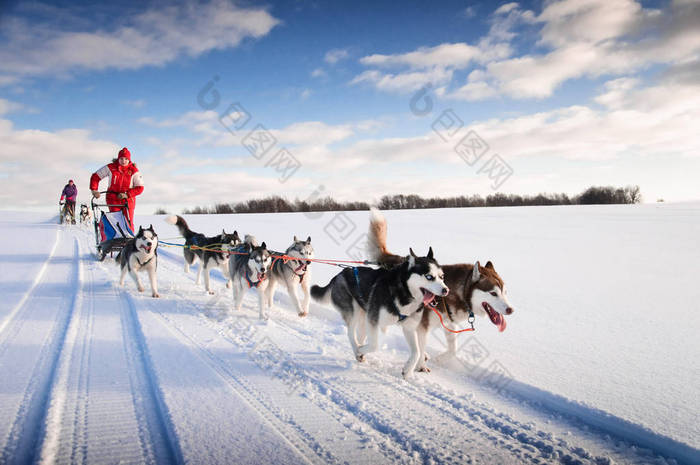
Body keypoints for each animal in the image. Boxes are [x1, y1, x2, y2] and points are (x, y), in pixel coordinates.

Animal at [312, 214, 448, 376]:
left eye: (442, 276)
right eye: (429, 277)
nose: (446, 290)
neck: (404, 292)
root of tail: (339, 274)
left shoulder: (408, 327)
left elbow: (416, 352)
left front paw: (408, 370)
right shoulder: (375, 321)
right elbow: (376, 344)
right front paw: (361, 350)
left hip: (364, 316)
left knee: (359, 334)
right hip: (354, 312)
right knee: (351, 333)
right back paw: (357, 350)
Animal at [366, 208, 516, 368]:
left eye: (505, 292)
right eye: (493, 293)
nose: (510, 310)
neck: (454, 293)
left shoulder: (449, 324)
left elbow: (453, 350)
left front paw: (439, 359)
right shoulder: (422, 326)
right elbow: (420, 348)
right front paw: (420, 366)